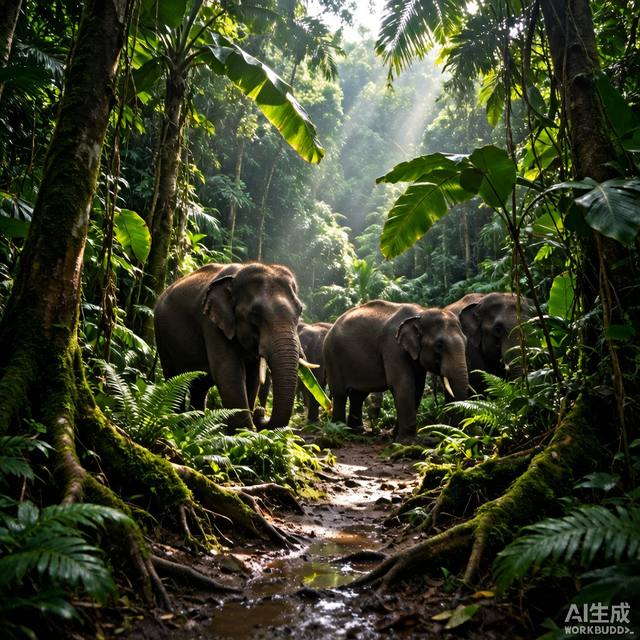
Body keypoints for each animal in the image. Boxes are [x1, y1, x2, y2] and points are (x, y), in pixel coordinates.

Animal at [154, 262, 307, 431]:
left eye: (300, 310)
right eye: (255, 312)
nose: (260, 411)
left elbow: (253, 378)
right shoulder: (212, 324)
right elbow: (228, 372)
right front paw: (243, 432)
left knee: (198, 386)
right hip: (161, 335)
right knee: (175, 379)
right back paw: (177, 426)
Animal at [323, 300, 469, 441]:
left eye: (466, 341)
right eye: (439, 345)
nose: (454, 432)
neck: (420, 313)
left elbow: (418, 388)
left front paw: (394, 435)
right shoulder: (393, 346)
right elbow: (403, 384)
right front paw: (408, 441)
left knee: (358, 394)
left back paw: (357, 431)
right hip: (332, 356)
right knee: (340, 394)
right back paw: (339, 430)